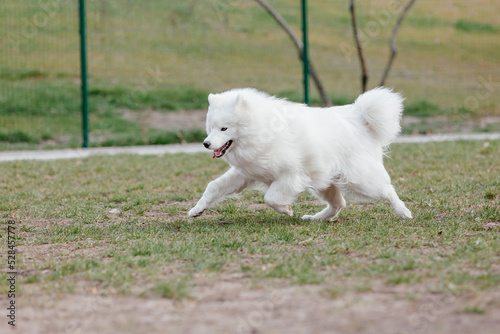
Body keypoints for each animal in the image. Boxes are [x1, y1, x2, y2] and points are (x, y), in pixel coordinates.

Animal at [189, 87, 412, 220]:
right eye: (210, 127)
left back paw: (403, 212)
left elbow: (270, 198)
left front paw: (286, 209)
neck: (262, 130)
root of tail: (359, 118)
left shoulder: (290, 175)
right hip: (325, 182)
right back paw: (317, 218)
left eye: (224, 129)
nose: (206, 143)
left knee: (387, 189)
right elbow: (214, 187)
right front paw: (197, 210)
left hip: (358, 180)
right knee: (339, 204)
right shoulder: (246, 172)